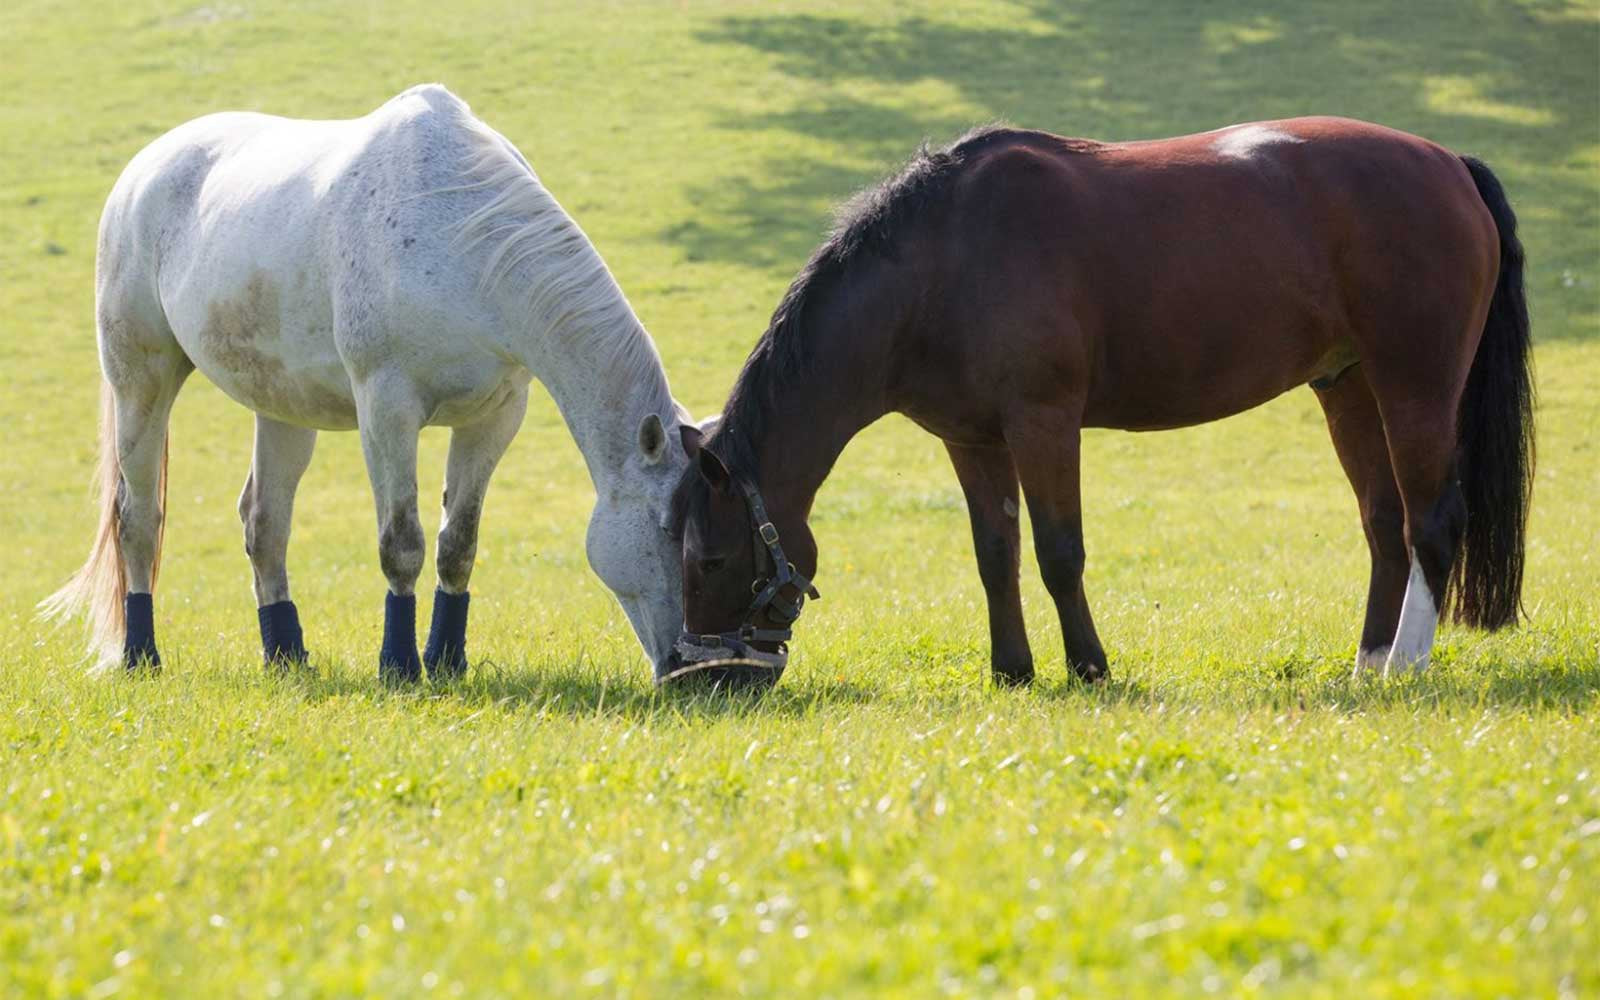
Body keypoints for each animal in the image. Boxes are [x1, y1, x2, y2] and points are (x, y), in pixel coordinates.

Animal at [43, 85, 700, 678]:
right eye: (671, 528)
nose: (693, 668)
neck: (459, 239)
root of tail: (144, 169)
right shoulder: (387, 410)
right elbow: (401, 544)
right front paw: (400, 667)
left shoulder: (494, 417)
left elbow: (458, 545)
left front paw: (446, 664)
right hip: (141, 384)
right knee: (137, 518)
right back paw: (140, 656)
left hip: (283, 411)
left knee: (264, 525)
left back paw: (286, 657)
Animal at [668, 116, 1529, 684]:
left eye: (709, 558)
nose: (707, 681)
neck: (943, 261)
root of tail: (1450, 163)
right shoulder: (972, 441)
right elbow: (996, 555)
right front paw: (1012, 671)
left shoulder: (1044, 424)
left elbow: (1059, 551)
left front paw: (1088, 666)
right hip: (1348, 387)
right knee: (1385, 526)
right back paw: (1367, 663)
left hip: (1415, 384)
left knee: (1431, 522)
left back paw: (1404, 669)